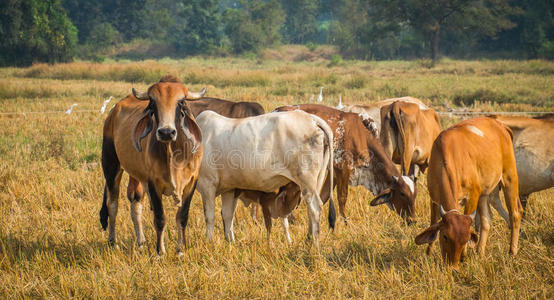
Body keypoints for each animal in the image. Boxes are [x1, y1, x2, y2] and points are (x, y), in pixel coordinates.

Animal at [99, 75, 205, 255]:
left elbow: (182, 216)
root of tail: (114, 112)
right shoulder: (153, 183)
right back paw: (113, 242)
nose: (166, 132)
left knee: (135, 201)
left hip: (135, 174)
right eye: (153, 103)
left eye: (181, 102)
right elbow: (160, 218)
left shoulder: (192, 181)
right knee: (112, 204)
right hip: (111, 166)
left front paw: (180, 250)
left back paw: (141, 242)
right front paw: (160, 252)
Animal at [193, 110, 332, 244]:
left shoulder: (207, 184)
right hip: (315, 181)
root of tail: (310, 119)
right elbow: (227, 215)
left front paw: (209, 242)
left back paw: (314, 243)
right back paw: (309, 239)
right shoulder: (229, 189)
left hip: (306, 179)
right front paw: (230, 243)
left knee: (314, 208)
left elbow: (209, 216)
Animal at [274, 104, 416, 224]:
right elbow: (342, 197)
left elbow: (324, 197)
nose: (413, 220)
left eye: (415, 195)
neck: (363, 136)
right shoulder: (343, 167)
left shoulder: (334, 172)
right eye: (402, 193)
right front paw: (345, 222)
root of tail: (276, 110)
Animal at [414, 116, 520, 268]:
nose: (453, 267)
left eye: (465, 239)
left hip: (509, 177)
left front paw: (464, 256)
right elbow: (432, 223)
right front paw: (428, 254)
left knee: (515, 214)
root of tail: (501, 126)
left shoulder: (473, 196)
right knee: (487, 220)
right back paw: (480, 252)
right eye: (445, 236)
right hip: (485, 192)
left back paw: (512, 251)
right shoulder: (433, 198)